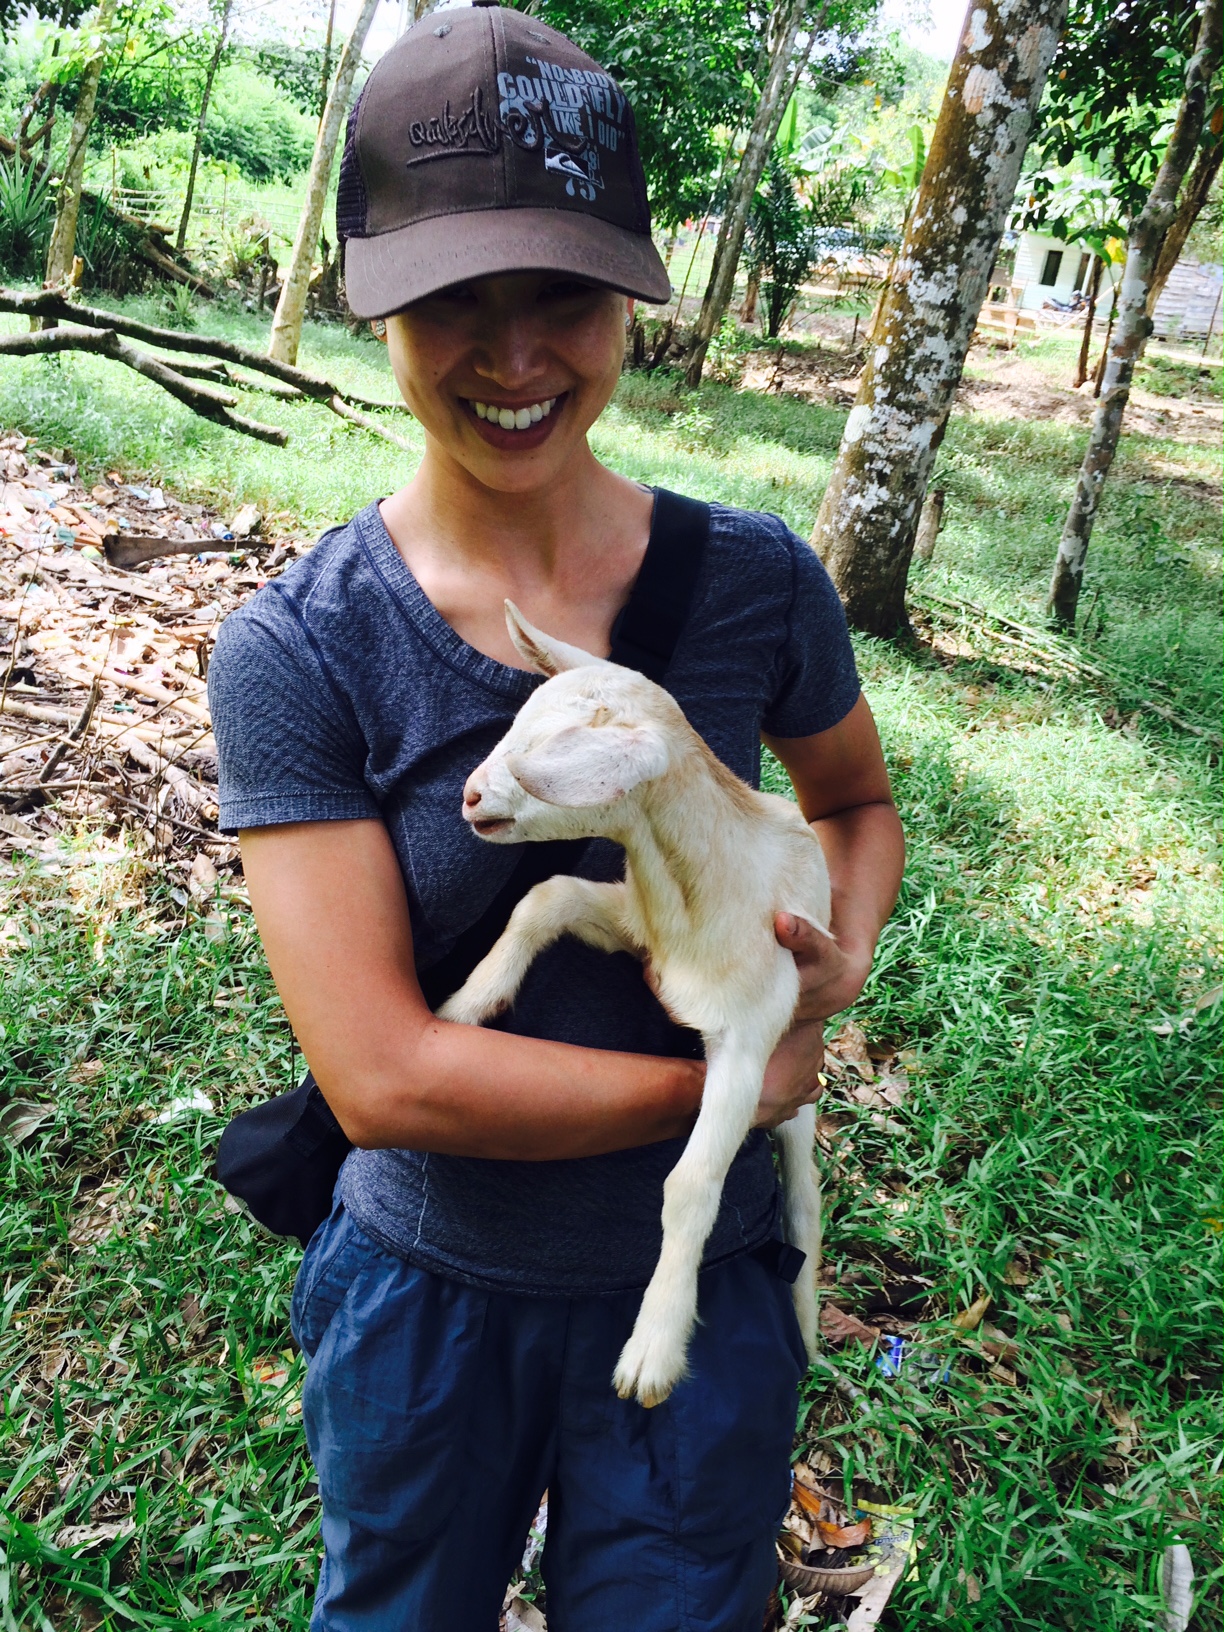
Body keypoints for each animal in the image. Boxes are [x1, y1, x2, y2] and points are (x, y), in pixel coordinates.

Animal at [437, 602, 830, 1407]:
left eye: (554, 755)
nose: (472, 795)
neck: (699, 895)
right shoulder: (639, 929)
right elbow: (545, 895)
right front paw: (469, 1002)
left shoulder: (752, 1037)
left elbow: (692, 1184)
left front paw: (653, 1348)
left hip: (802, 1096)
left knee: (805, 1197)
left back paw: (806, 1330)